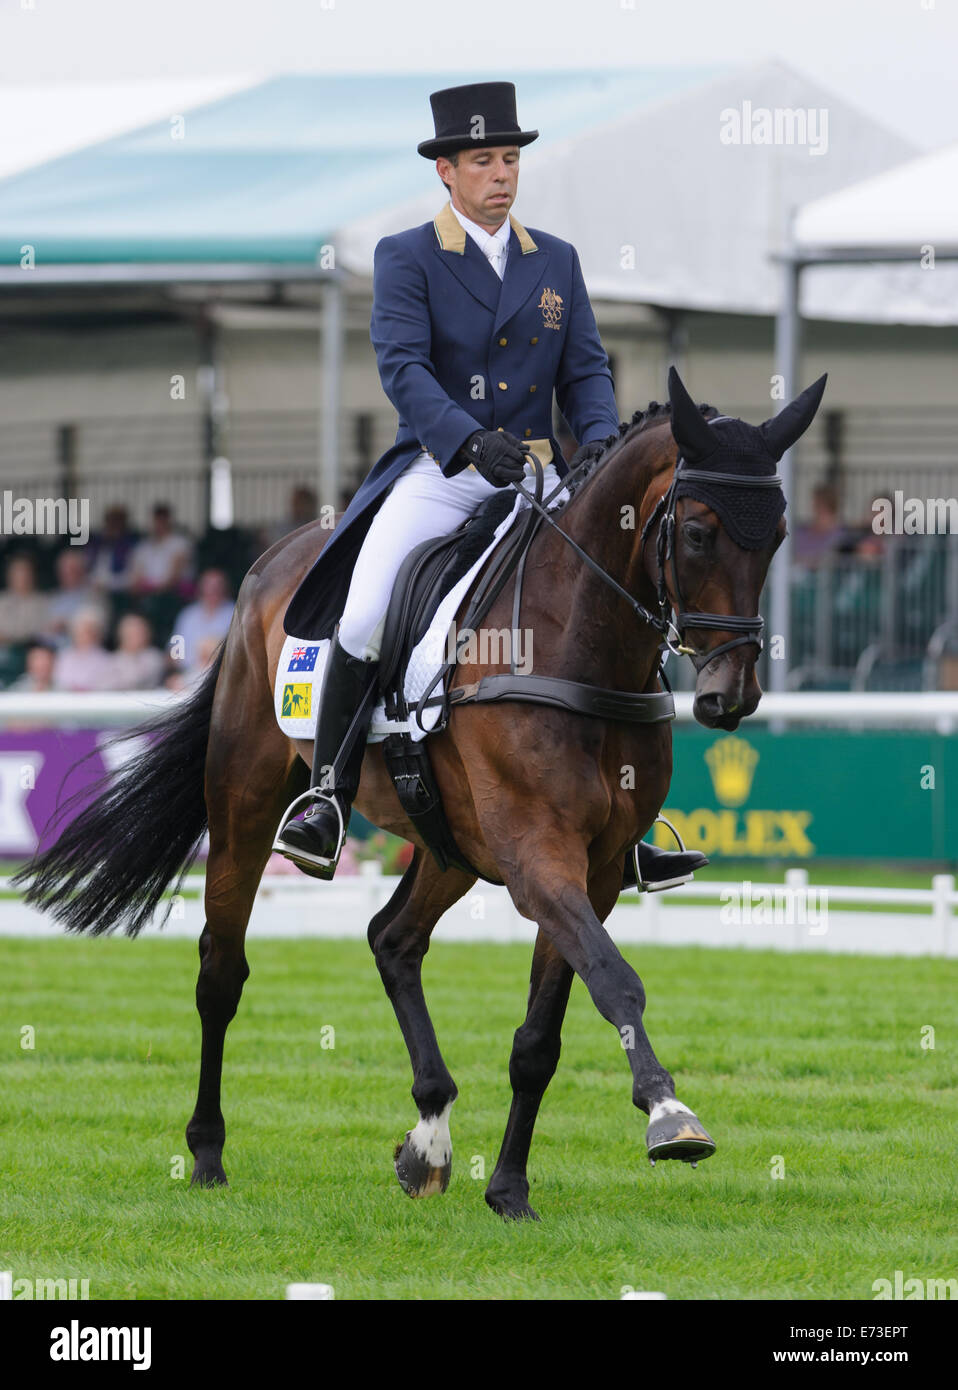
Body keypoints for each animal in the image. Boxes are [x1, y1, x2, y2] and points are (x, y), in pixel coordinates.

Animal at [13, 366, 823, 1217]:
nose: (731, 696)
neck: (575, 641)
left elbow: (541, 1037)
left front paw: (509, 1189)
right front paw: (670, 1114)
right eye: (698, 533)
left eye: (777, 535)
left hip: (447, 843)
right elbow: (616, 981)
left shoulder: (594, 869)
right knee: (221, 972)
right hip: (245, 800)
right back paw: (207, 1154)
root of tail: (274, 561)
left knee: (392, 938)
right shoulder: (539, 857)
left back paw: (428, 1137)